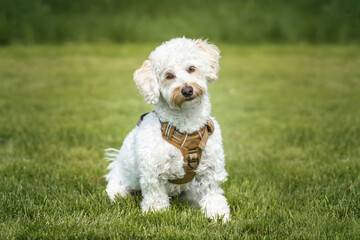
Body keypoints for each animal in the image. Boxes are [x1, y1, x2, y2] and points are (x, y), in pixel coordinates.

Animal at [105, 37, 229, 221]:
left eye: (191, 68)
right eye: (169, 76)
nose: (187, 89)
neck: (186, 127)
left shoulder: (210, 171)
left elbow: (212, 195)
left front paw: (218, 215)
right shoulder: (152, 172)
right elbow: (155, 196)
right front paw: (156, 213)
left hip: (191, 191)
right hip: (120, 190)